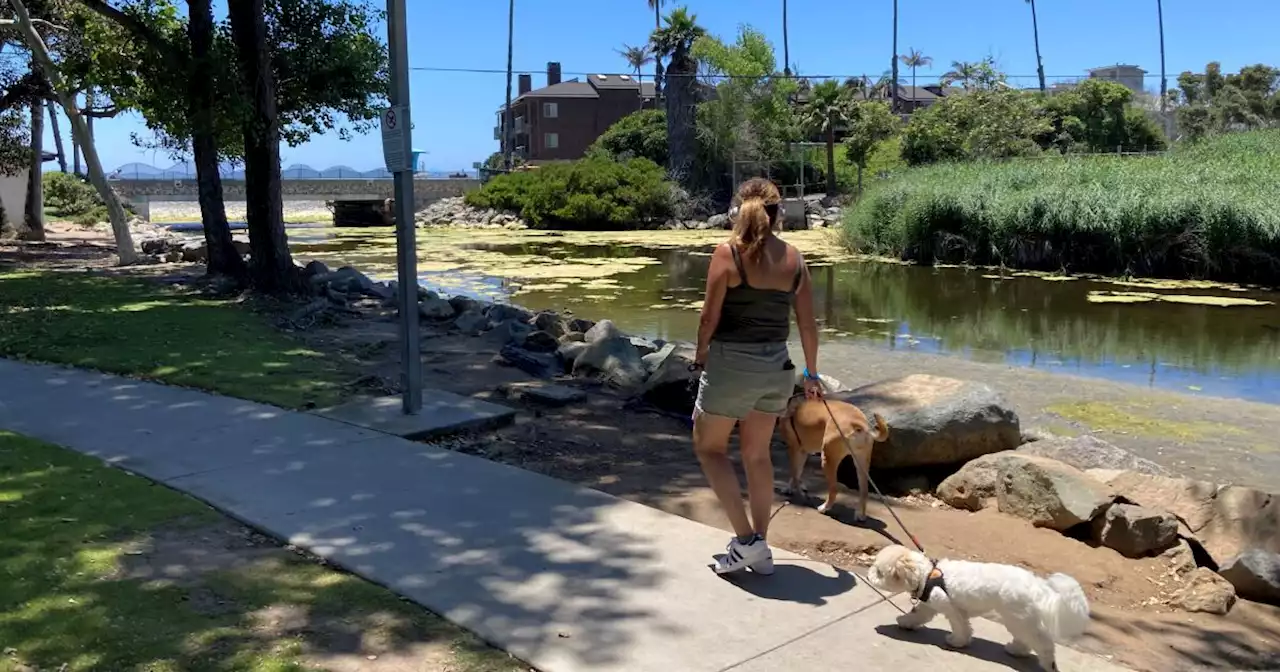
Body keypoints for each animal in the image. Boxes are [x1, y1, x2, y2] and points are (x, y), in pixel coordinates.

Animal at [860, 545, 1090, 670]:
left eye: (879, 572)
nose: (869, 576)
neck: (926, 575)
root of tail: (1037, 585)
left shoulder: (951, 608)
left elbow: (960, 627)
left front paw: (957, 641)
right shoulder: (928, 606)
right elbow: (917, 615)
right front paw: (905, 622)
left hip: (1017, 617)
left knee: (1042, 644)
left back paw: (1048, 664)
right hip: (1019, 619)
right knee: (1028, 639)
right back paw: (1016, 650)